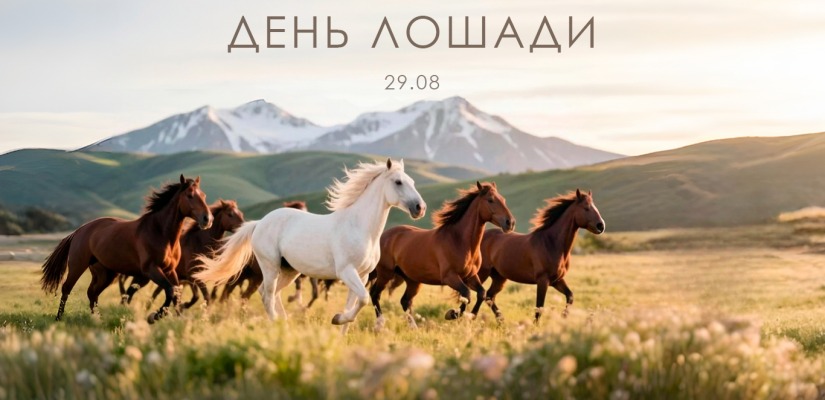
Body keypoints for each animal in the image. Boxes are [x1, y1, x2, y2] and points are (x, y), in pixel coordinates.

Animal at [41, 175, 213, 323]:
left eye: (204, 195)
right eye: (189, 195)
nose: (207, 219)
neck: (159, 232)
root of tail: (78, 230)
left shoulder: (170, 270)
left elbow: (176, 293)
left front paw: (175, 319)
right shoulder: (151, 270)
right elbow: (170, 291)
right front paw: (154, 316)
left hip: (106, 273)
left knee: (92, 293)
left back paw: (97, 319)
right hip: (78, 266)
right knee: (67, 289)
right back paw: (59, 319)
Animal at [194, 159, 426, 333]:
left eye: (412, 181)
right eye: (398, 182)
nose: (420, 208)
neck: (360, 227)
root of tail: (259, 223)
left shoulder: (363, 275)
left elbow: (354, 305)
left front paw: (340, 329)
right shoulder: (346, 272)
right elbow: (364, 299)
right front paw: (337, 319)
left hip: (289, 271)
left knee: (271, 294)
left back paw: (284, 324)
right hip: (270, 267)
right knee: (267, 296)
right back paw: (279, 327)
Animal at [369, 181, 515, 330]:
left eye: (503, 200)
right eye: (490, 200)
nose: (510, 222)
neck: (459, 241)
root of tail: (383, 236)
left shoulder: (471, 276)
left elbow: (481, 294)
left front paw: (470, 316)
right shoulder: (449, 277)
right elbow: (466, 294)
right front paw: (452, 314)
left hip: (412, 280)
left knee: (405, 301)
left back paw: (414, 328)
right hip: (385, 273)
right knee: (375, 294)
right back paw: (380, 325)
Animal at [478, 189, 605, 324]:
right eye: (586, 208)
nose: (601, 226)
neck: (551, 243)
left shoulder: (557, 280)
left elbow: (570, 296)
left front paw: (563, 317)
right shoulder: (542, 280)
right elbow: (539, 307)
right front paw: (536, 325)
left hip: (499, 277)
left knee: (489, 296)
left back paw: (501, 320)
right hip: (482, 273)